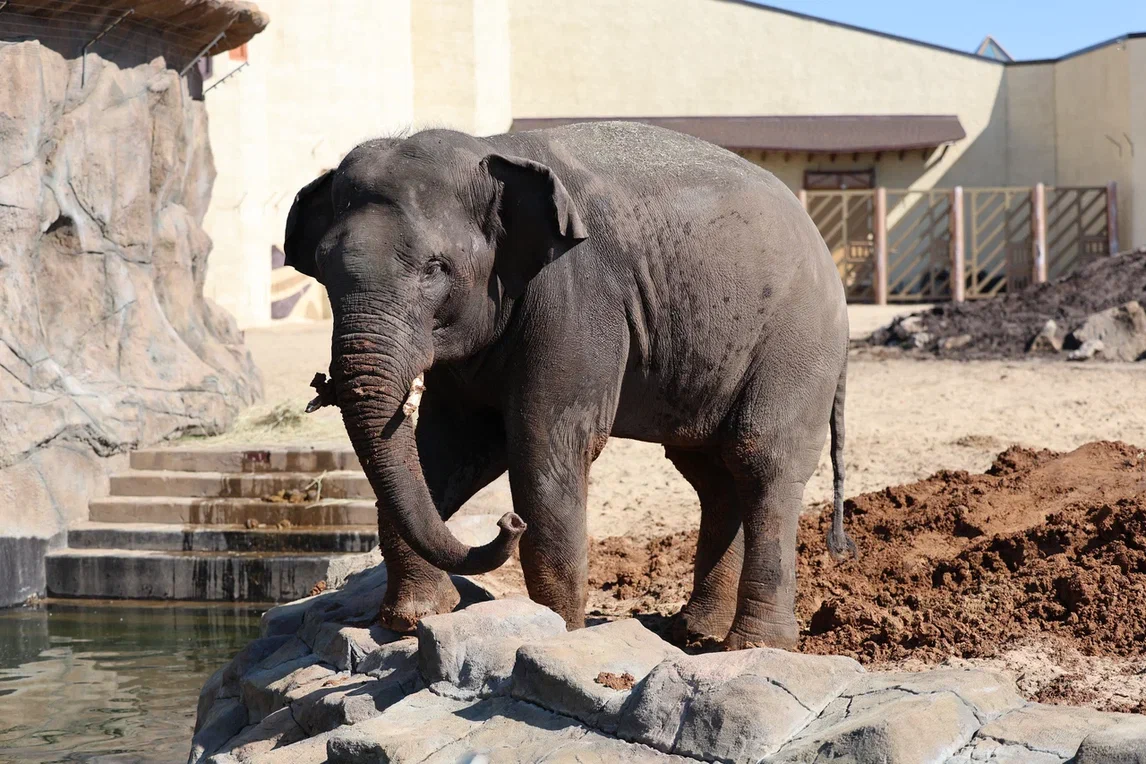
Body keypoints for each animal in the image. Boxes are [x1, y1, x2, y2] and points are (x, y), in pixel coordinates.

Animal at [283, 121, 855, 651]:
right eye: (325, 272)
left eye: (436, 268)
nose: (508, 523)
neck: (490, 149)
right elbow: (447, 450)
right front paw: (412, 620)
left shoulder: (577, 297)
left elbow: (546, 446)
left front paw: (556, 633)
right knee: (710, 474)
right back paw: (694, 632)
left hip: (797, 344)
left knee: (762, 462)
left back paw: (754, 646)